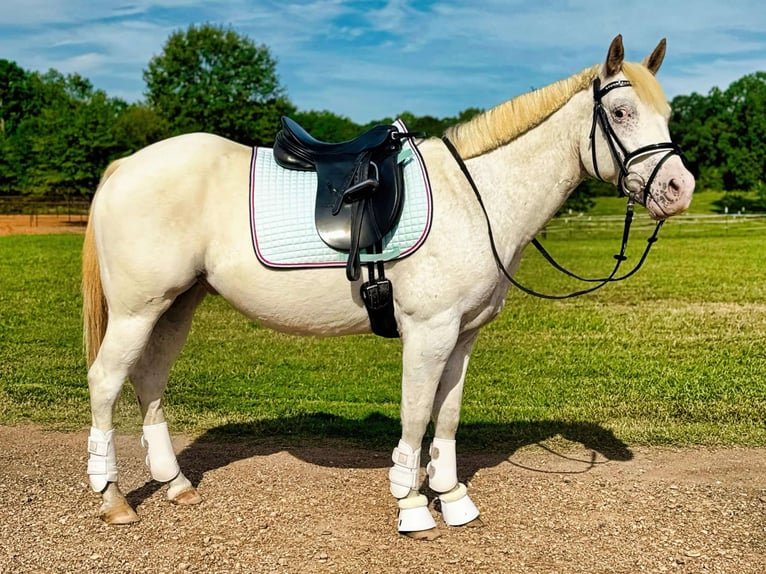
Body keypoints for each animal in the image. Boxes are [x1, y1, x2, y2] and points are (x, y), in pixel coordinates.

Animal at [82, 36, 696, 540]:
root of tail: (126, 166)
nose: (679, 188)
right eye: (620, 112)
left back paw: (176, 484)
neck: (475, 195)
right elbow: (417, 415)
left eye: (666, 114)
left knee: (149, 380)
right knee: (107, 382)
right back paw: (112, 498)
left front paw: (451, 497)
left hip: (175, 306)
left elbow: (446, 417)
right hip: (137, 311)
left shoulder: (462, 337)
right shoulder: (428, 333)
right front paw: (413, 506)